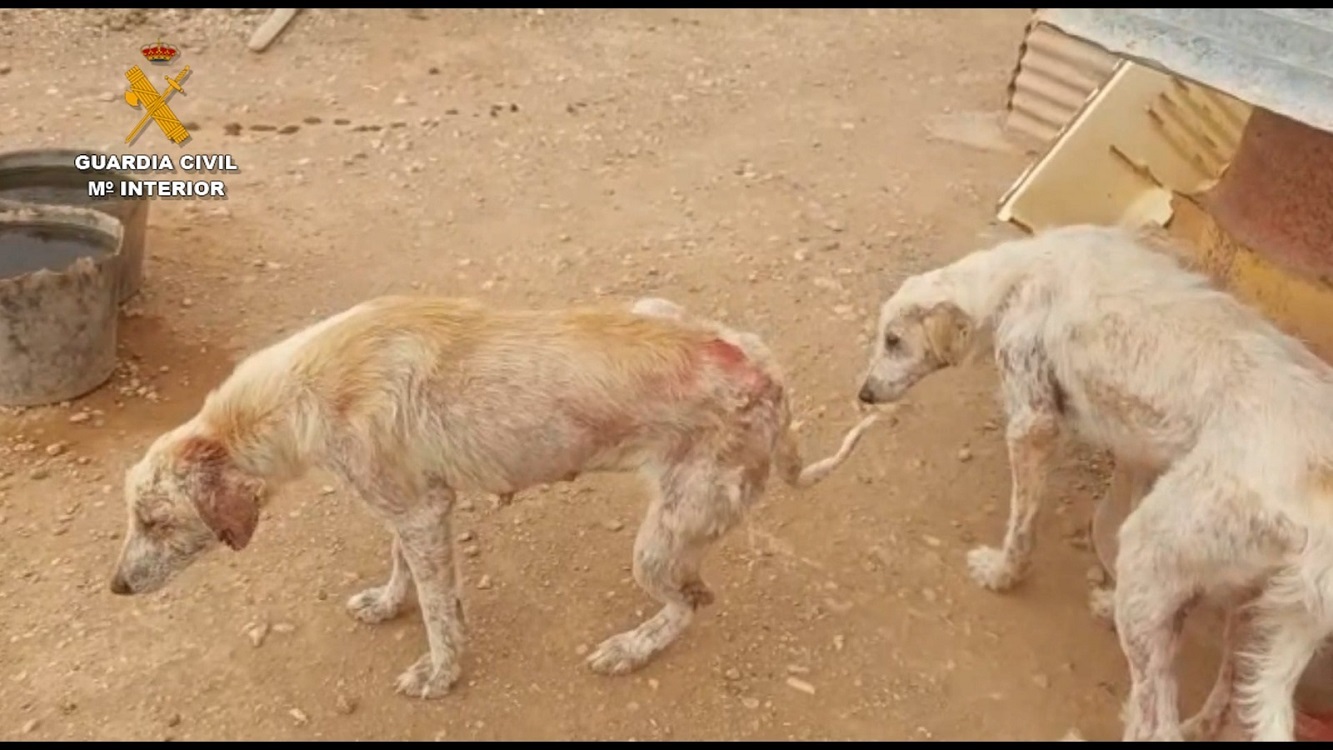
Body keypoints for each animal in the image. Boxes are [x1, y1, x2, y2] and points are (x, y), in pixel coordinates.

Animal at [109, 293, 879, 698]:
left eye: (154, 521)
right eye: (135, 517)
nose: (116, 587)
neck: (300, 390)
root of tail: (767, 373)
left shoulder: (422, 514)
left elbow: (441, 616)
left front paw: (439, 673)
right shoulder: (408, 505)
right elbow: (402, 572)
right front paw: (388, 603)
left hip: (663, 538)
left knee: (692, 603)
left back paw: (630, 648)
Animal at [858, 226, 1333, 740]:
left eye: (893, 340)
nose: (864, 393)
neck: (1015, 277)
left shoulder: (1032, 424)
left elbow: (1021, 526)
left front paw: (1002, 574)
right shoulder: (1143, 452)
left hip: (1154, 543)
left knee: (1156, 721)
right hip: (1251, 603)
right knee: (1230, 686)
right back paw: (1194, 710)